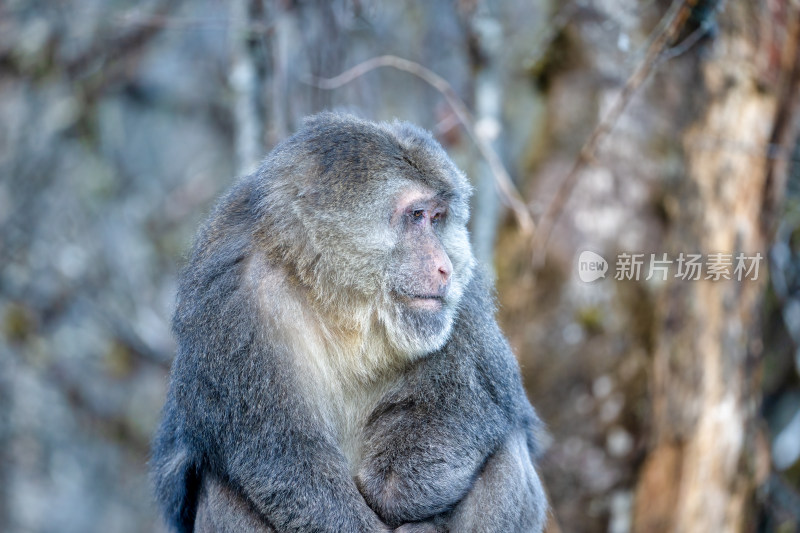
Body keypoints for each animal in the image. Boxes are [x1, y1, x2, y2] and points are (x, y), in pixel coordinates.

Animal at [150, 110, 548, 528]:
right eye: (417, 216)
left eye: (439, 218)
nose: (444, 267)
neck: (339, 303)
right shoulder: (232, 303)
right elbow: (285, 459)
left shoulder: (461, 301)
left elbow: (470, 405)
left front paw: (394, 489)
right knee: (221, 487)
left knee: (508, 449)